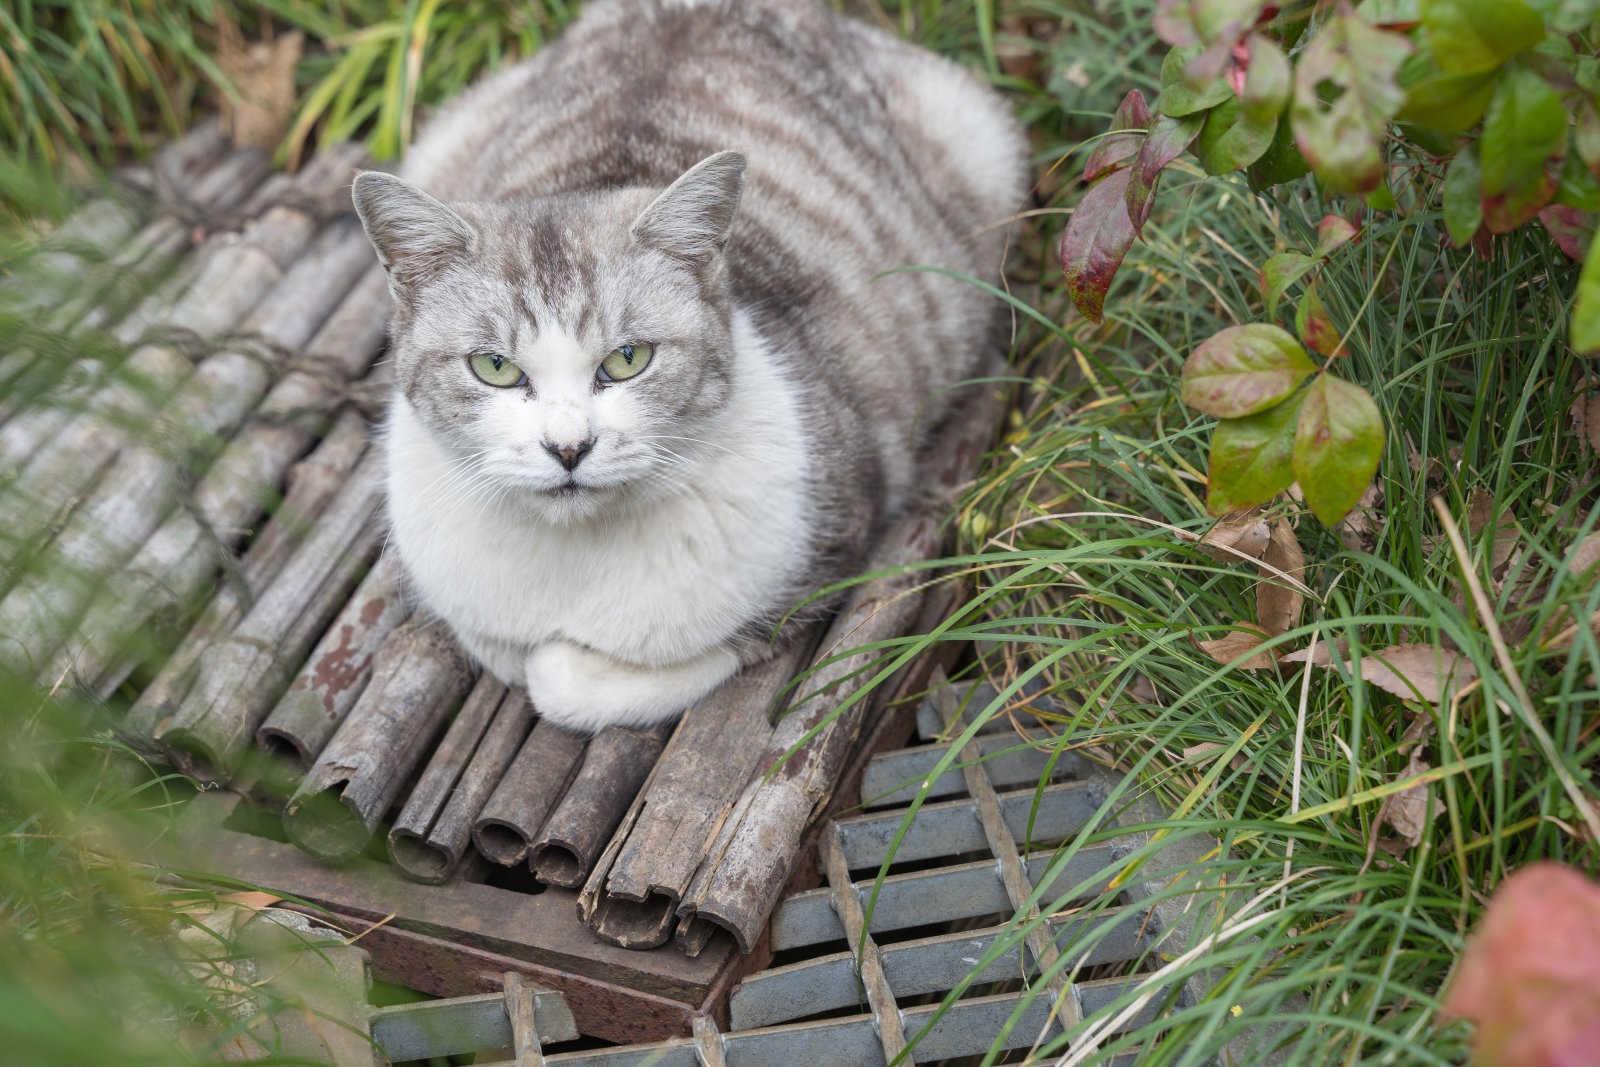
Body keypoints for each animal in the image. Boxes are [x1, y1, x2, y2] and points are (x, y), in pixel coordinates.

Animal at [350, 0, 1024, 735]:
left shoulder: (822, 551)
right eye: (495, 367)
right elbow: (498, 645)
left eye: (628, 359)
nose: (568, 448)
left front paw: (569, 662)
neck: (575, 561)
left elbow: (586, 673)